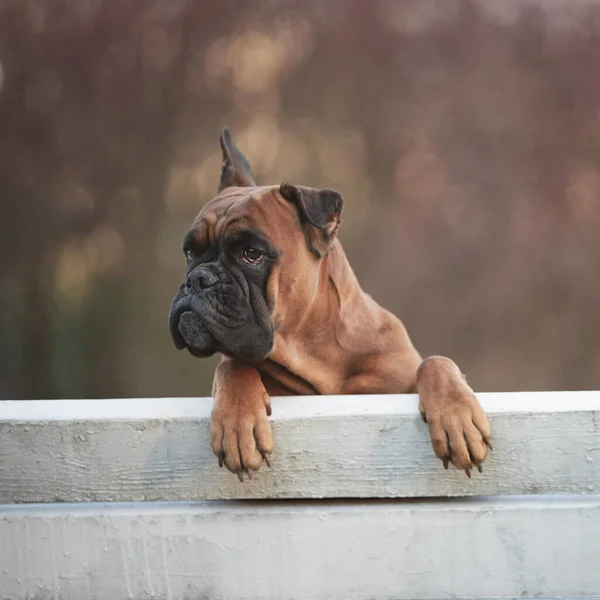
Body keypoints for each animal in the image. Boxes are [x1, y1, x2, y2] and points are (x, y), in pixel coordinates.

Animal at [169, 127, 492, 482]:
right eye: (189, 252)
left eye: (252, 254)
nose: (197, 279)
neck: (316, 351)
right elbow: (234, 366)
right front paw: (238, 424)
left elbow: (435, 362)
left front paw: (457, 417)